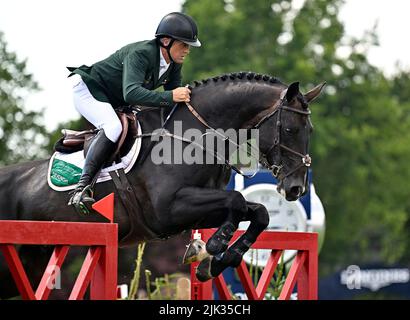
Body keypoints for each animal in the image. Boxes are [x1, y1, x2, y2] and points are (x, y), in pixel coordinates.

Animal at [0, 72, 326, 298]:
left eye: (310, 129)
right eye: (289, 129)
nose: (296, 188)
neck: (196, 136)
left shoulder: (195, 209)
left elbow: (258, 212)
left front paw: (214, 261)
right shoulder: (169, 210)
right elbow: (235, 199)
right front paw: (211, 247)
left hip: (31, 262)